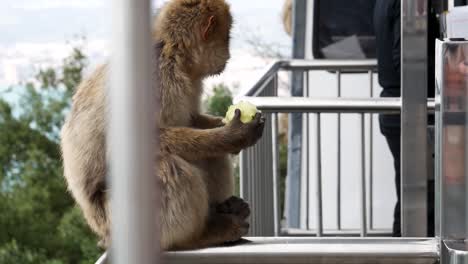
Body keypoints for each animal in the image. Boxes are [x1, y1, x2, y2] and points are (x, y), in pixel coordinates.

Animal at [59, 0, 266, 251]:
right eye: (227, 37)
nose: (229, 54)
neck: (173, 53)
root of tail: (101, 231)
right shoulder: (158, 77)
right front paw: (233, 136)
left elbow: (190, 120)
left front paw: (221, 128)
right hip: (117, 216)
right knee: (168, 166)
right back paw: (200, 235)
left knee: (208, 154)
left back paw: (224, 210)